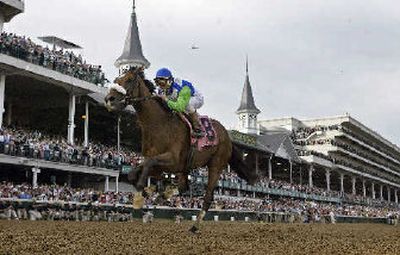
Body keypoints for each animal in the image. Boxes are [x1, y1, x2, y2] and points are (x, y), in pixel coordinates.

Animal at [104, 67, 258, 233]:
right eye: (116, 79)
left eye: (130, 79)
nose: (109, 99)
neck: (159, 125)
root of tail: (228, 137)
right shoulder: (159, 165)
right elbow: (134, 173)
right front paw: (150, 192)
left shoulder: (173, 160)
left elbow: (148, 166)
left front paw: (141, 197)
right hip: (186, 168)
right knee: (184, 187)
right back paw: (165, 195)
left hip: (216, 166)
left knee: (207, 197)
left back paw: (195, 226)